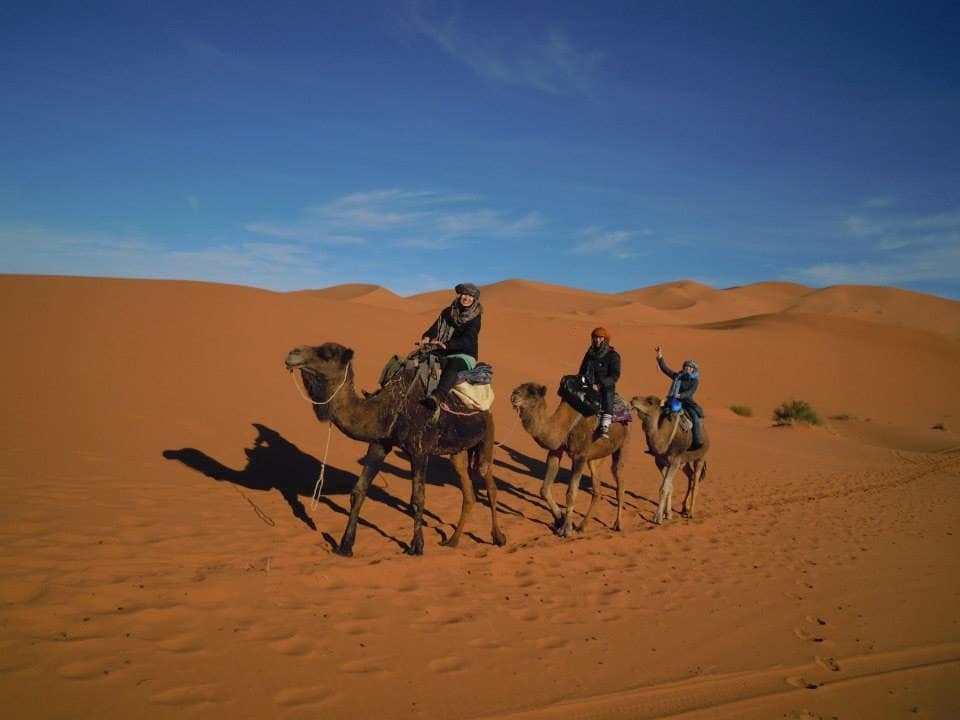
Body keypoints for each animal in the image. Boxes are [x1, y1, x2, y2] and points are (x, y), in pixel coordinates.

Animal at [284, 344, 510, 556]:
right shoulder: (379, 443)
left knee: (489, 482)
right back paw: (453, 541)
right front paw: (345, 546)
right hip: (459, 450)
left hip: (486, 436)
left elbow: (418, 499)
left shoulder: (419, 450)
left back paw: (498, 537)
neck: (390, 407)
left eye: (326, 353)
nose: (293, 352)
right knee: (468, 490)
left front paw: (417, 547)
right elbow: (358, 491)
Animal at [510, 382, 632, 536]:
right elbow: (544, 489)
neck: (565, 426)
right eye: (518, 388)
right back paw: (582, 526)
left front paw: (566, 529)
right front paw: (559, 518)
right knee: (597, 491)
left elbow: (571, 493)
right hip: (594, 457)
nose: (514, 396)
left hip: (624, 443)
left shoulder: (579, 457)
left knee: (619, 481)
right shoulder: (555, 451)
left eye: (532, 392)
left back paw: (618, 524)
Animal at [628, 394, 708, 524]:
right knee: (690, 475)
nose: (633, 399)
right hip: (684, 462)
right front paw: (668, 514)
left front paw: (657, 517)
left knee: (696, 482)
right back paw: (684, 507)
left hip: (701, 457)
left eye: (650, 402)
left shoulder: (675, 461)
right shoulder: (660, 462)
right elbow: (669, 487)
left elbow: (664, 488)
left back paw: (690, 513)